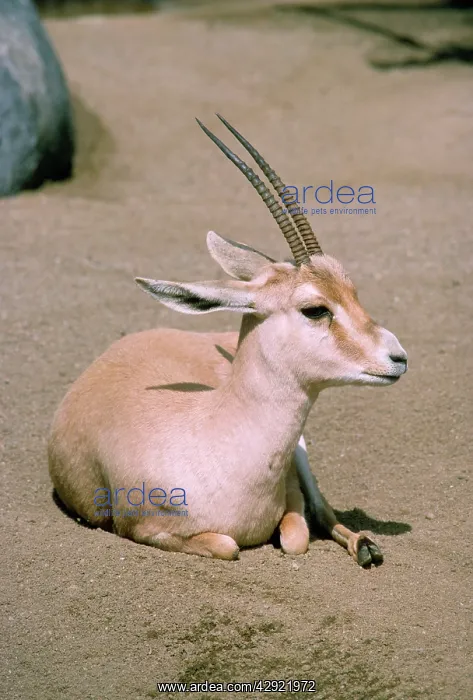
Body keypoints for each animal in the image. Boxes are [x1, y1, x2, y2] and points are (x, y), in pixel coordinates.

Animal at [48, 115, 407, 566]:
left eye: (352, 290)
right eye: (315, 309)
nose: (398, 357)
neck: (214, 434)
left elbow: (296, 537)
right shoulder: (146, 529)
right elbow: (228, 545)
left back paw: (366, 546)